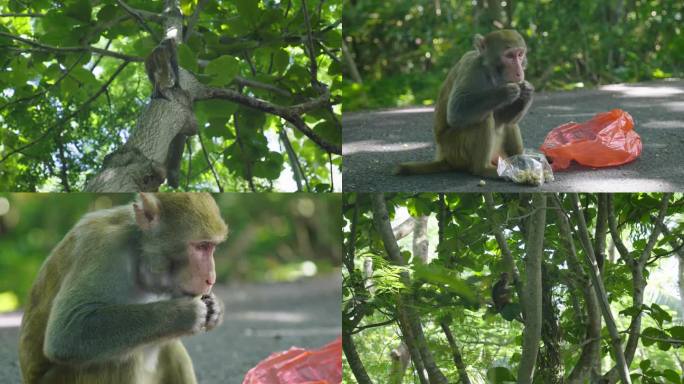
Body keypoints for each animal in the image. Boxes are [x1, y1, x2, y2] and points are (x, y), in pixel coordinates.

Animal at [18, 195, 227, 384]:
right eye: (201, 246)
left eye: (212, 247)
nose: (211, 278)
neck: (137, 249)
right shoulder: (103, 248)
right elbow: (67, 330)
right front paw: (183, 314)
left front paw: (215, 306)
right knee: (119, 359)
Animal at [396, 30, 536, 178]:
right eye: (509, 56)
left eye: (520, 54)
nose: (519, 72)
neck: (490, 72)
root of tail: (443, 157)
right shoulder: (472, 70)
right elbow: (457, 110)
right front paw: (506, 92)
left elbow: (503, 120)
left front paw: (527, 91)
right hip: (454, 149)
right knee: (484, 119)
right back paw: (483, 169)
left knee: (507, 123)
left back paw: (520, 161)